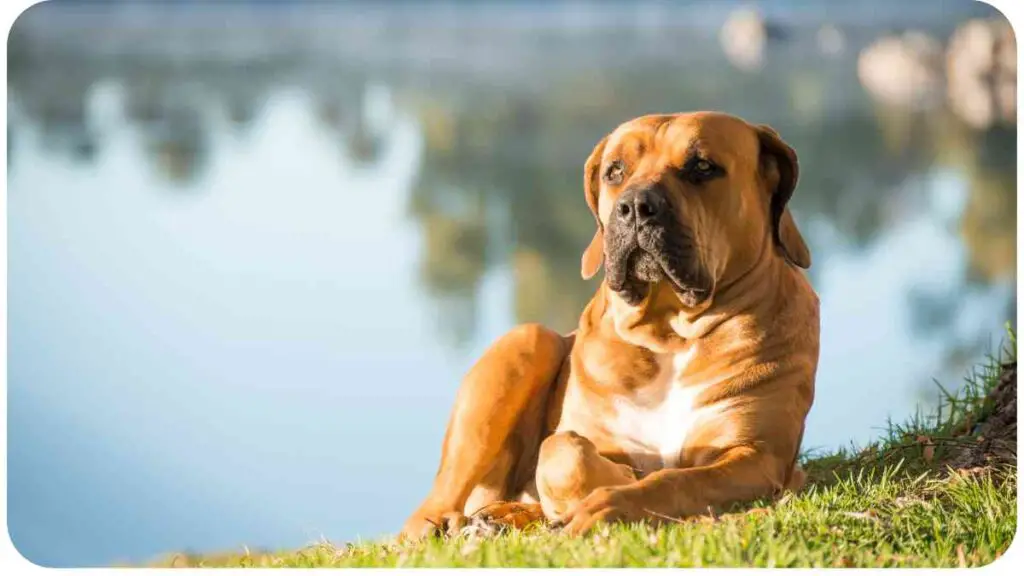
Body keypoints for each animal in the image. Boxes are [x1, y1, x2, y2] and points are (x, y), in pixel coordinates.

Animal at [399, 109, 815, 537]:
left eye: (702, 167)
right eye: (615, 171)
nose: (635, 205)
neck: (671, 334)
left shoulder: (756, 455)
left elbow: (677, 479)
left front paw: (614, 499)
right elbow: (562, 452)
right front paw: (611, 482)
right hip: (524, 343)